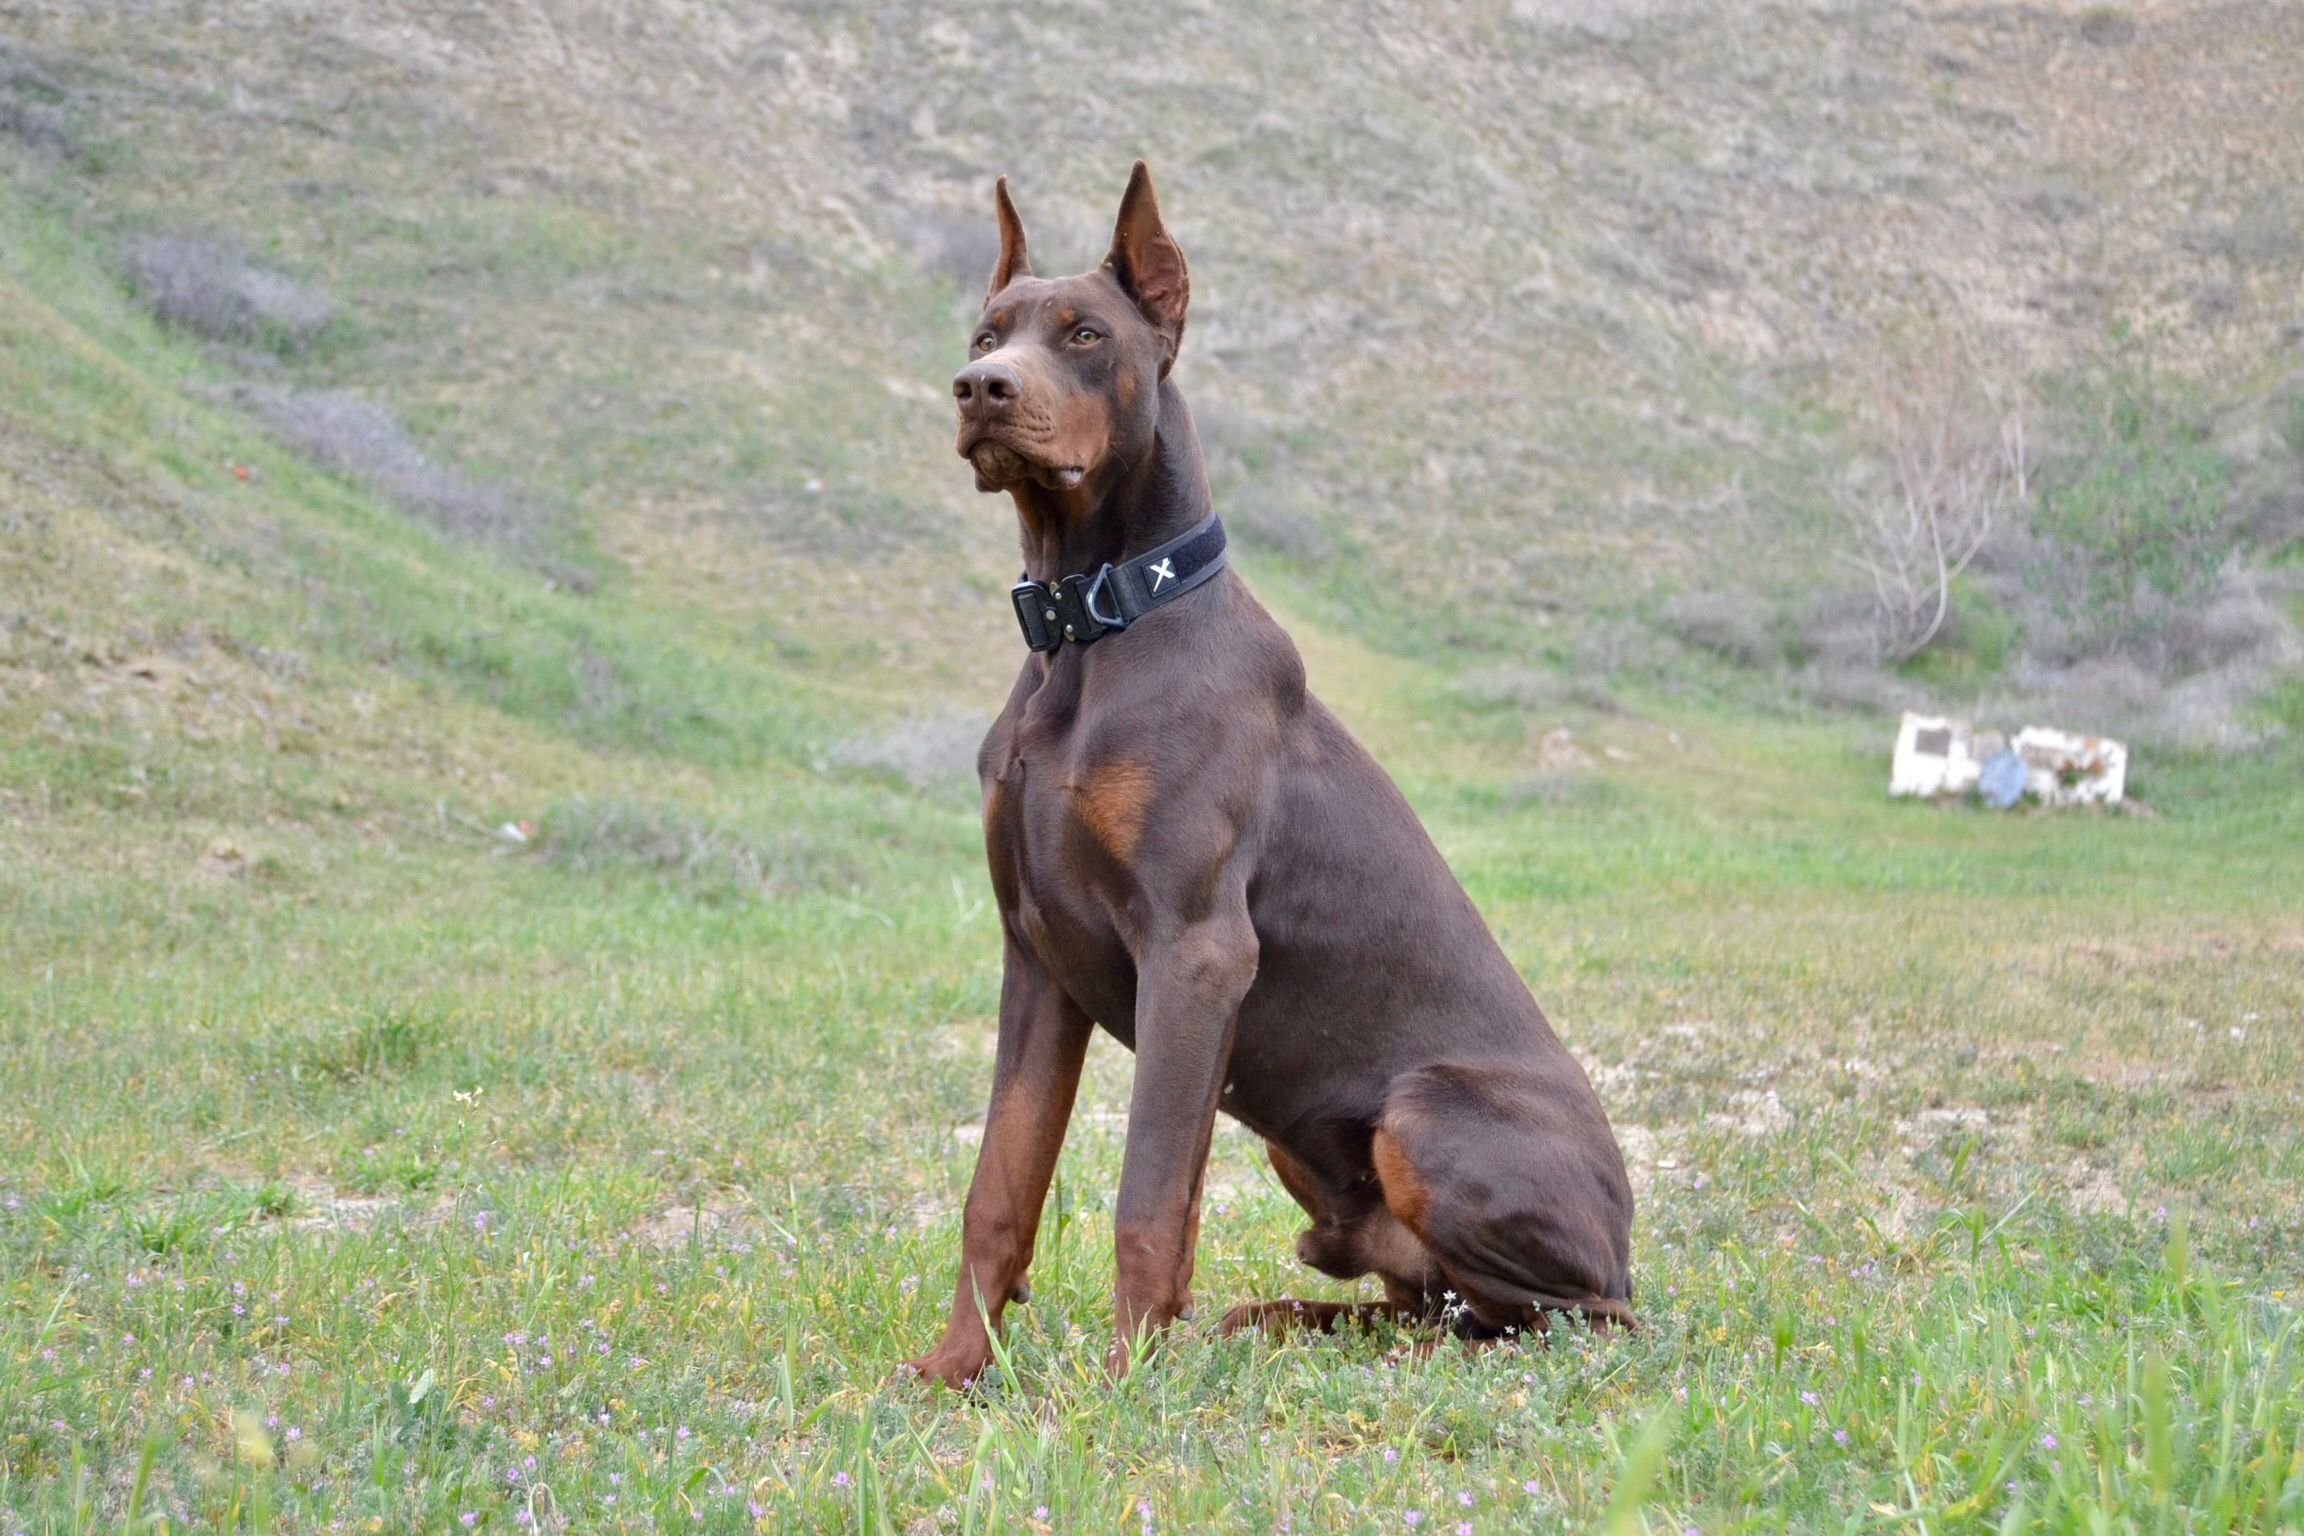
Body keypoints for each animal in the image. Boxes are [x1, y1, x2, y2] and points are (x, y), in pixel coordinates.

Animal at [903, 162, 1640, 1390]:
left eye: (1087, 334)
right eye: (986, 333)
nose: (980, 391)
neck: (1091, 631)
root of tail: (1629, 1238)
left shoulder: (1197, 952)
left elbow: (1148, 1199)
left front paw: (1121, 1386)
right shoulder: (1035, 957)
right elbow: (998, 1187)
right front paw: (956, 1370)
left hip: (1425, 1115)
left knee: (1556, 1321)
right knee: (1425, 1298)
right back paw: (1277, 1322)